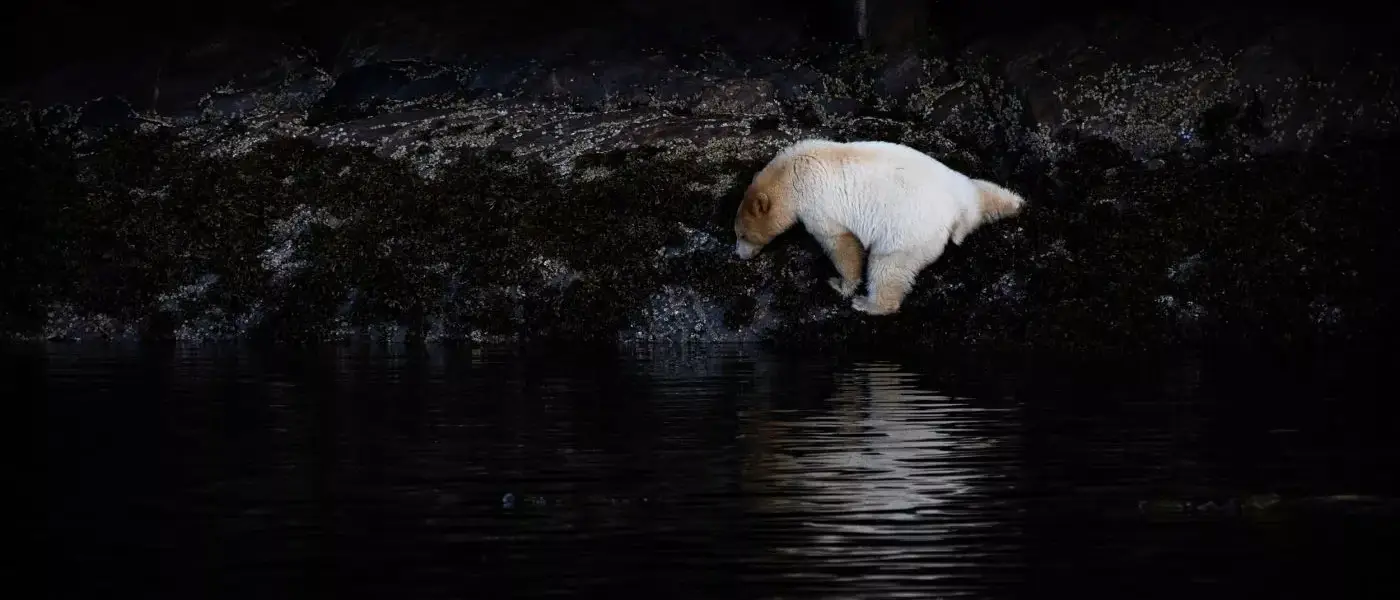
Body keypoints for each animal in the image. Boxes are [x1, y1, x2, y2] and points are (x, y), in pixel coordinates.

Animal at [732, 138, 1026, 316]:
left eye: (742, 234)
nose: (738, 255)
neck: (793, 172)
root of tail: (956, 212)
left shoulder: (817, 203)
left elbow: (839, 242)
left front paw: (841, 285)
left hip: (908, 232)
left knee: (888, 266)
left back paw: (869, 303)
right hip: (962, 187)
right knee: (983, 190)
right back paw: (1015, 202)